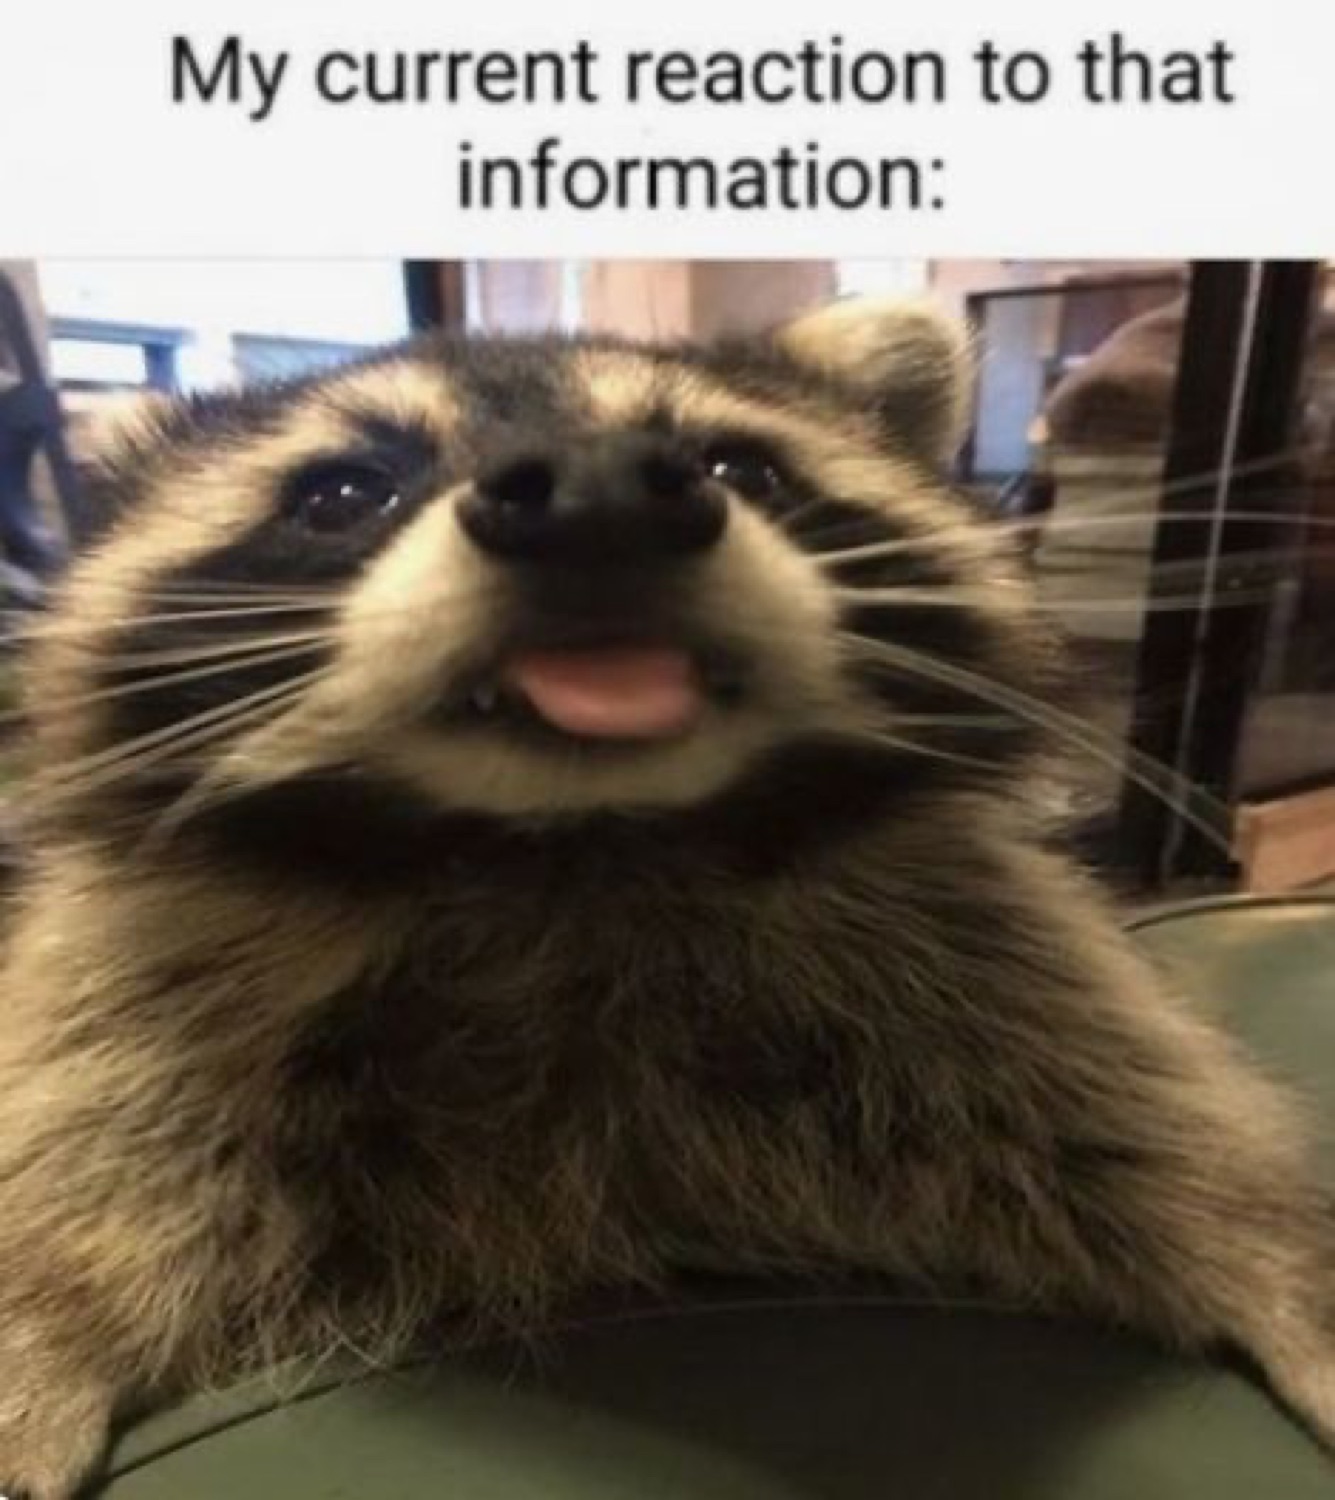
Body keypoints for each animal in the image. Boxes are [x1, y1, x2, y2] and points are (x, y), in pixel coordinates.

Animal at [0, 298, 1331, 1497]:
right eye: (343, 494)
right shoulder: (143, 1019)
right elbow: (72, 1150)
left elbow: (1159, 1136)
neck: (571, 850)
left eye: (738, 463)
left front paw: (1280, 1248)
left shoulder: (986, 978)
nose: (598, 496)